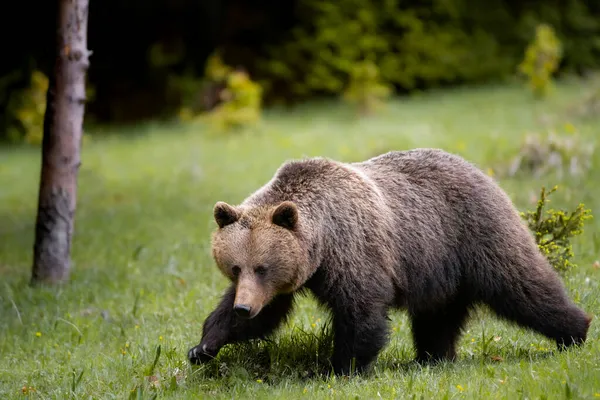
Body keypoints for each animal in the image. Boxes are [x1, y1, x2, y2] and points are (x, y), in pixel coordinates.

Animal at [188, 147, 592, 376]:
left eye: (262, 267)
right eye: (235, 267)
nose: (243, 307)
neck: (322, 241)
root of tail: (480, 171)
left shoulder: (354, 250)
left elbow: (361, 310)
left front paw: (338, 368)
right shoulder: (295, 272)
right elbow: (267, 312)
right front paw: (203, 346)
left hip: (474, 235)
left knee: (522, 286)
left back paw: (576, 330)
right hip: (437, 269)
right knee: (437, 317)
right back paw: (432, 357)